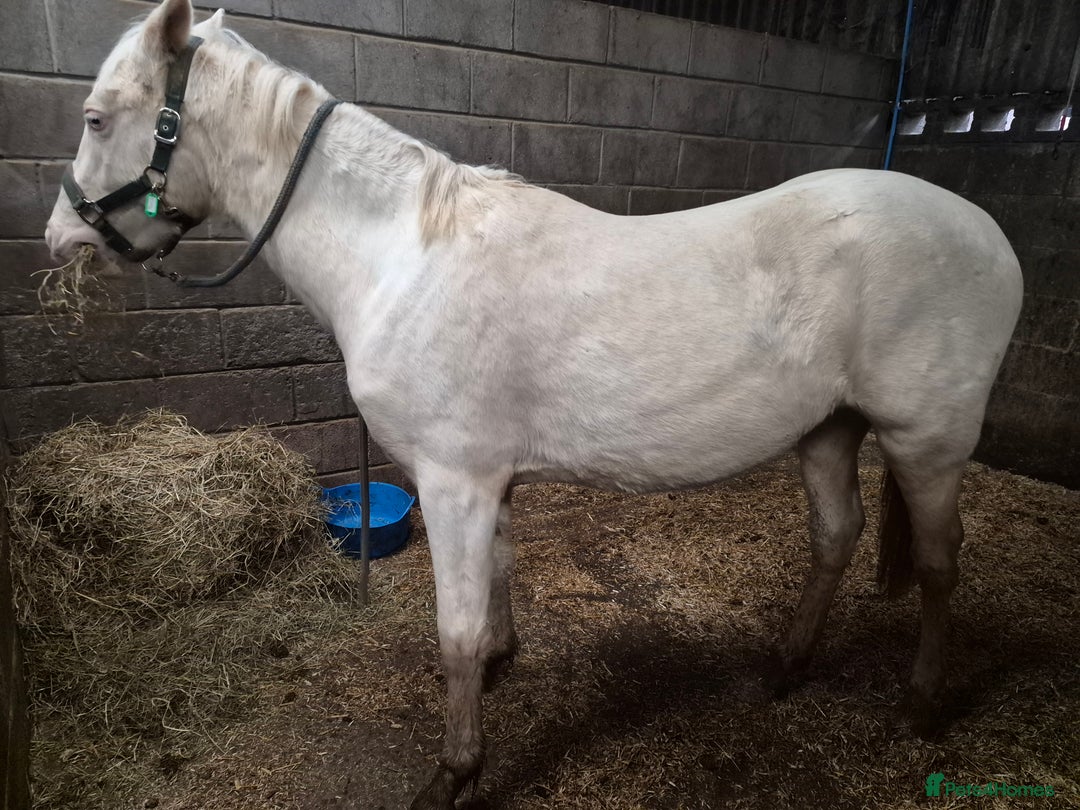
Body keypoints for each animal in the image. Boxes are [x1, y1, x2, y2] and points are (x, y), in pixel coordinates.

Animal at [44, 1, 1023, 807]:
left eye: (96, 117)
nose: (60, 238)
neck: (405, 259)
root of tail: (990, 235)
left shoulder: (454, 482)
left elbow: (454, 629)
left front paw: (456, 771)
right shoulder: (488, 482)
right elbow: (499, 582)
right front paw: (502, 664)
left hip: (925, 441)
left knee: (940, 564)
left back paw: (921, 705)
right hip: (827, 428)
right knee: (837, 536)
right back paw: (786, 667)